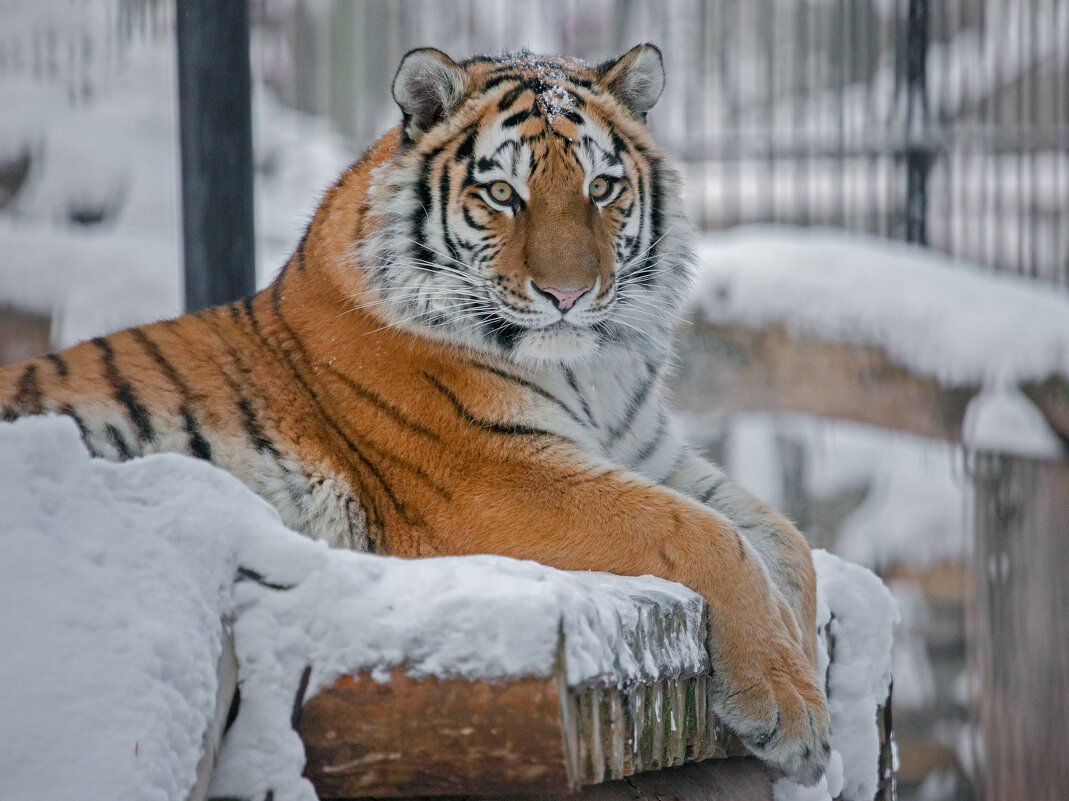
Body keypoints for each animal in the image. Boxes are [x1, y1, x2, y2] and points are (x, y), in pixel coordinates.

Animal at [0, 43, 829, 782]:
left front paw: (809, 687)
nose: (567, 294)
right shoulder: (494, 477)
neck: (593, 369)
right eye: (503, 195)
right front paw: (788, 710)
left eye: (600, 188)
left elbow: (782, 541)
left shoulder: (648, 455)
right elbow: (702, 534)